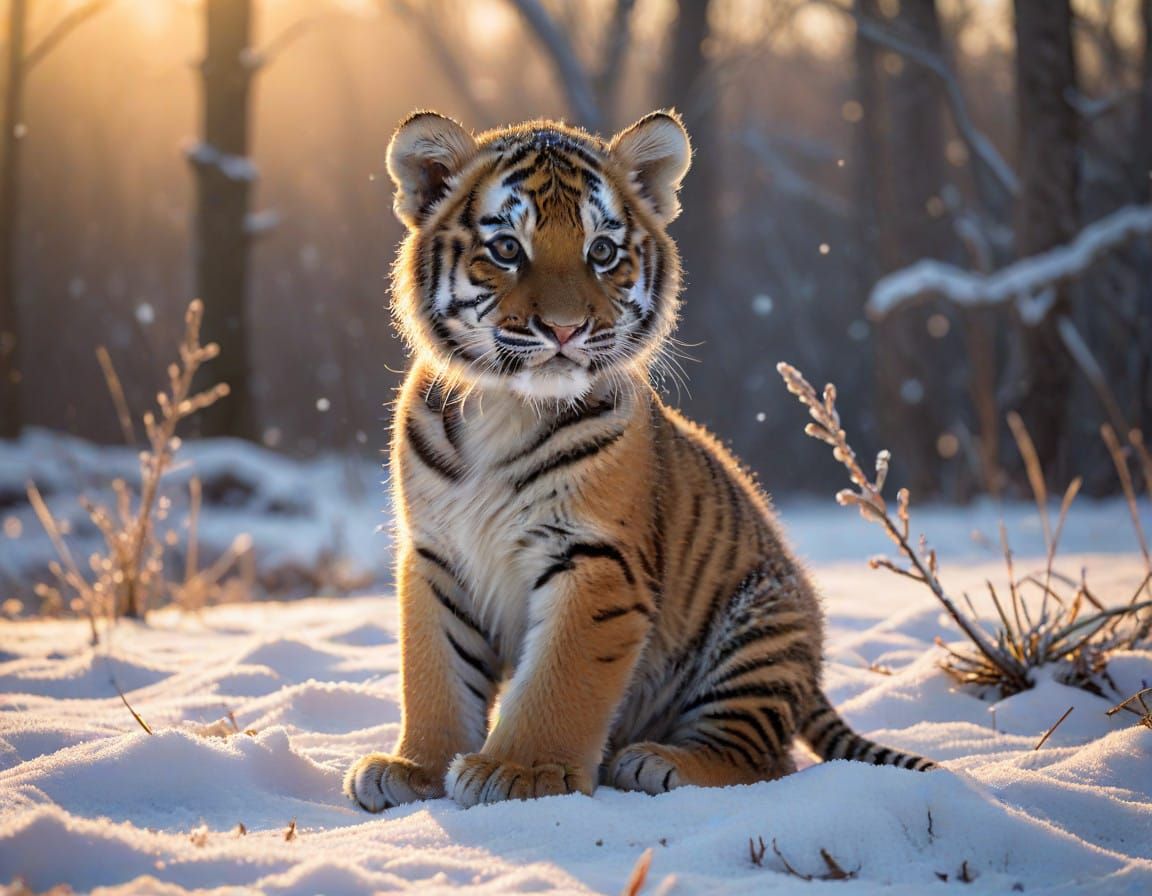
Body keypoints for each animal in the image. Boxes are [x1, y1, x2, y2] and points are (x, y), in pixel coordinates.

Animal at [345, 109, 936, 813]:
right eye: (508, 249)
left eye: (602, 251)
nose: (565, 329)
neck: (507, 408)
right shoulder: (437, 555)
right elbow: (436, 673)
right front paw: (417, 769)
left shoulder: (598, 559)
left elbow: (559, 679)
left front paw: (519, 772)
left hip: (758, 621)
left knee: (764, 759)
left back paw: (658, 762)